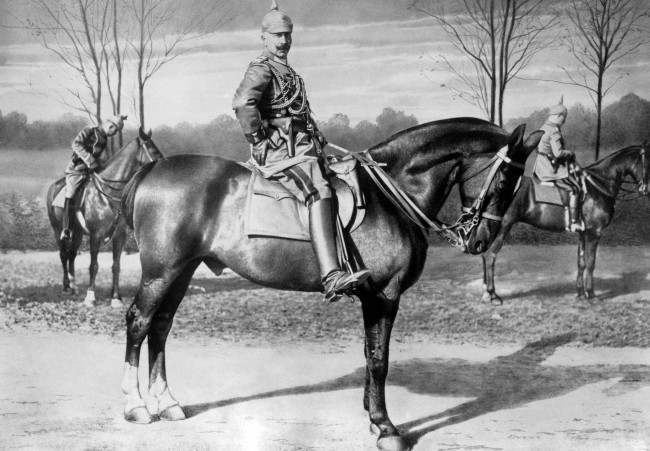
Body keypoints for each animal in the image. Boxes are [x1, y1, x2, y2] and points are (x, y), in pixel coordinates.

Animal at [45, 129, 162, 308]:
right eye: (152, 149)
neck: (108, 193)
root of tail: (54, 187)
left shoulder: (120, 236)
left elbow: (116, 266)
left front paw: (116, 298)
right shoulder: (96, 235)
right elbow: (94, 265)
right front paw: (90, 297)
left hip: (77, 234)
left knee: (72, 255)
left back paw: (74, 286)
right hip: (59, 230)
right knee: (64, 255)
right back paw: (66, 287)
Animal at [119, 119, 540, 451]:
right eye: (505, 178)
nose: (481, 240)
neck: (389, 192)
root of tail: (153, 169)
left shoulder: (374, 298)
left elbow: (370, 355)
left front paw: (372, 415)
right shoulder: (384, 295)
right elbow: (379, 359)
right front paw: (385, 427)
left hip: (182, 272)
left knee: (161, 327)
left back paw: (167, 403)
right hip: (161, 272)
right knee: (139, 322)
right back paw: (136, 406)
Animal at [478, 144, 644, 308]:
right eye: (646, 160)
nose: (645, 189)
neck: (597, 186)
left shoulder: (583, 233)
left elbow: (581, 262)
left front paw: (580, 294)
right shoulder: (594, 232)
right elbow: (591, 263)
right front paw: (591, 294)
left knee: (485, 255)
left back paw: (486, 293)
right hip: (504, 227)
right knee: (490, 255)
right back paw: (492, 295)